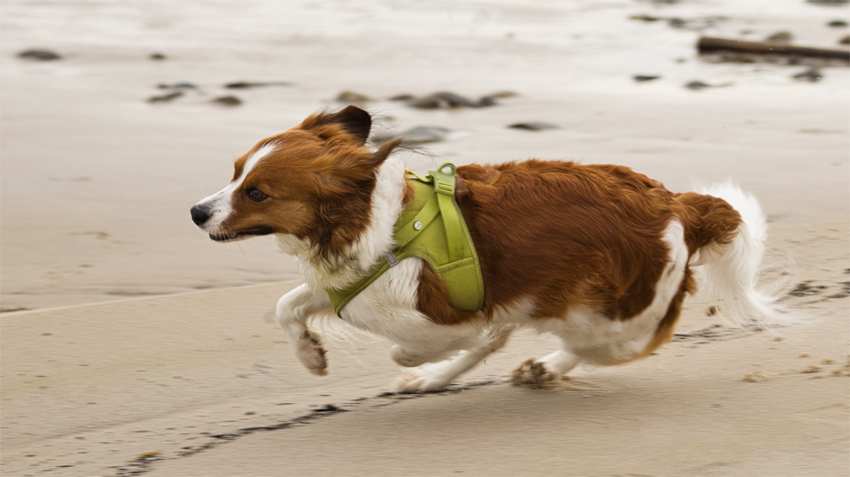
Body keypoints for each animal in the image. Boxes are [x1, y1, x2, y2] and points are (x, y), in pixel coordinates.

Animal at [192, 106, 780, 392]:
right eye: (235, 172)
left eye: (257, 192)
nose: (196, 212)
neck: (380, 222)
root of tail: (679, 205)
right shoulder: (351, 286)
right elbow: (287, 305)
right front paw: (310, 355)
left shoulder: (446, 312)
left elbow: (429, 341)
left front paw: (416, 359)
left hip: (608, 319)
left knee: (602, 347)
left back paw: (538, 367)